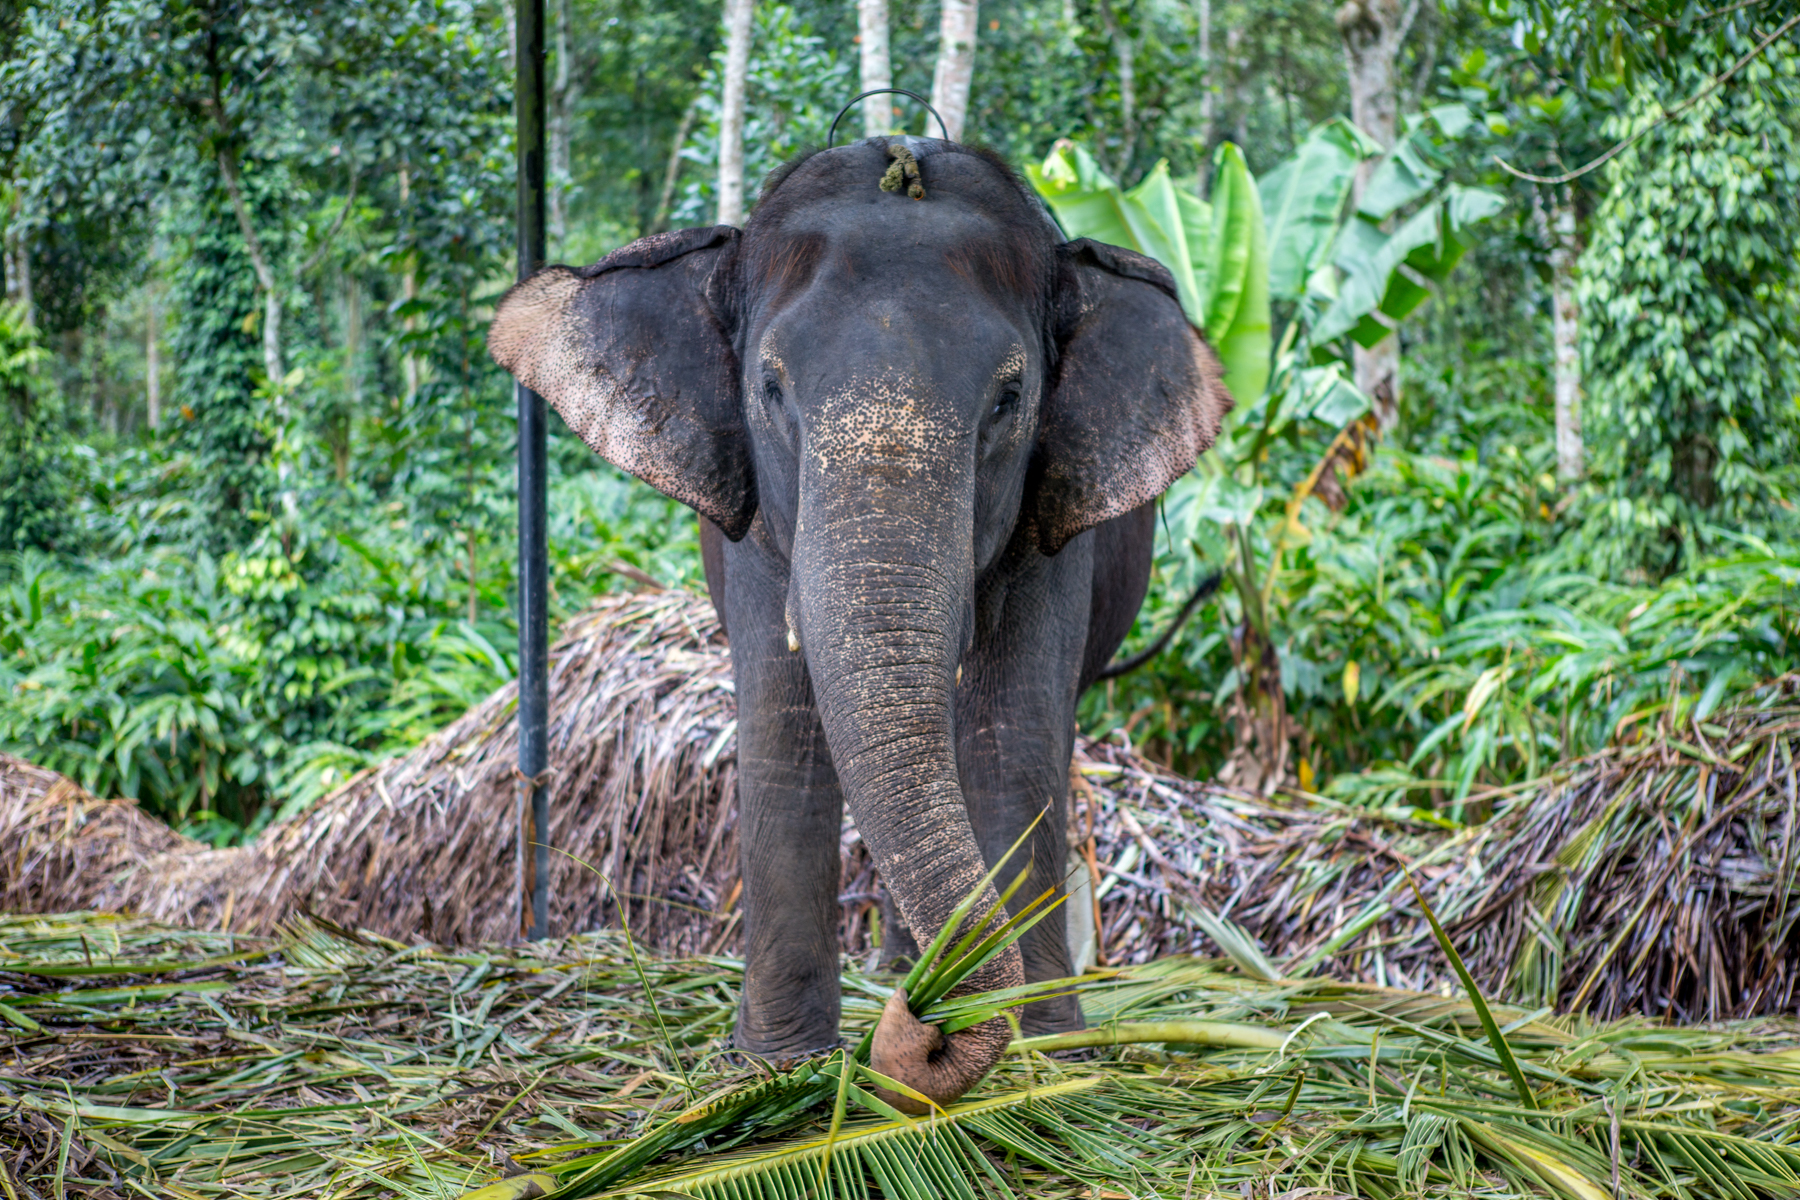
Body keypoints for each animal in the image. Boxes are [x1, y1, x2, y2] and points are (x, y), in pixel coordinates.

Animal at [488, 137, 1231, 1112]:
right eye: (770, 389)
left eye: (1009, 400)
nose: (925, 1029)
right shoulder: (758, 523)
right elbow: (785, 734)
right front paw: (776, 1068)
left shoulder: (1052, 511)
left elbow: (1012, 738)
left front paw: (1050, 1053)